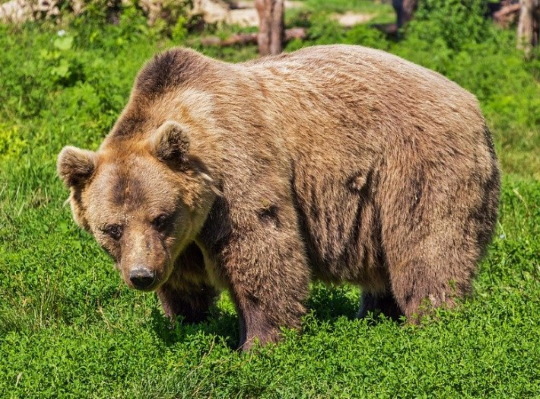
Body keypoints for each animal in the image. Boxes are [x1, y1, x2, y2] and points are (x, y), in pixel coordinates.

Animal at [57, 43, 500, 350]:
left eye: (160, 217)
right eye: (112, 228)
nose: (141, 276)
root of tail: (472, 102)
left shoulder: (238, 175)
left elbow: (262, 251)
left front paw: (259, 343)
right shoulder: (181, 241)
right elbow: (184, 283)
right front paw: (187, 323)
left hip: (417, 166)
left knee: (427, 247)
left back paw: (431, 322)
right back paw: (374, 316)